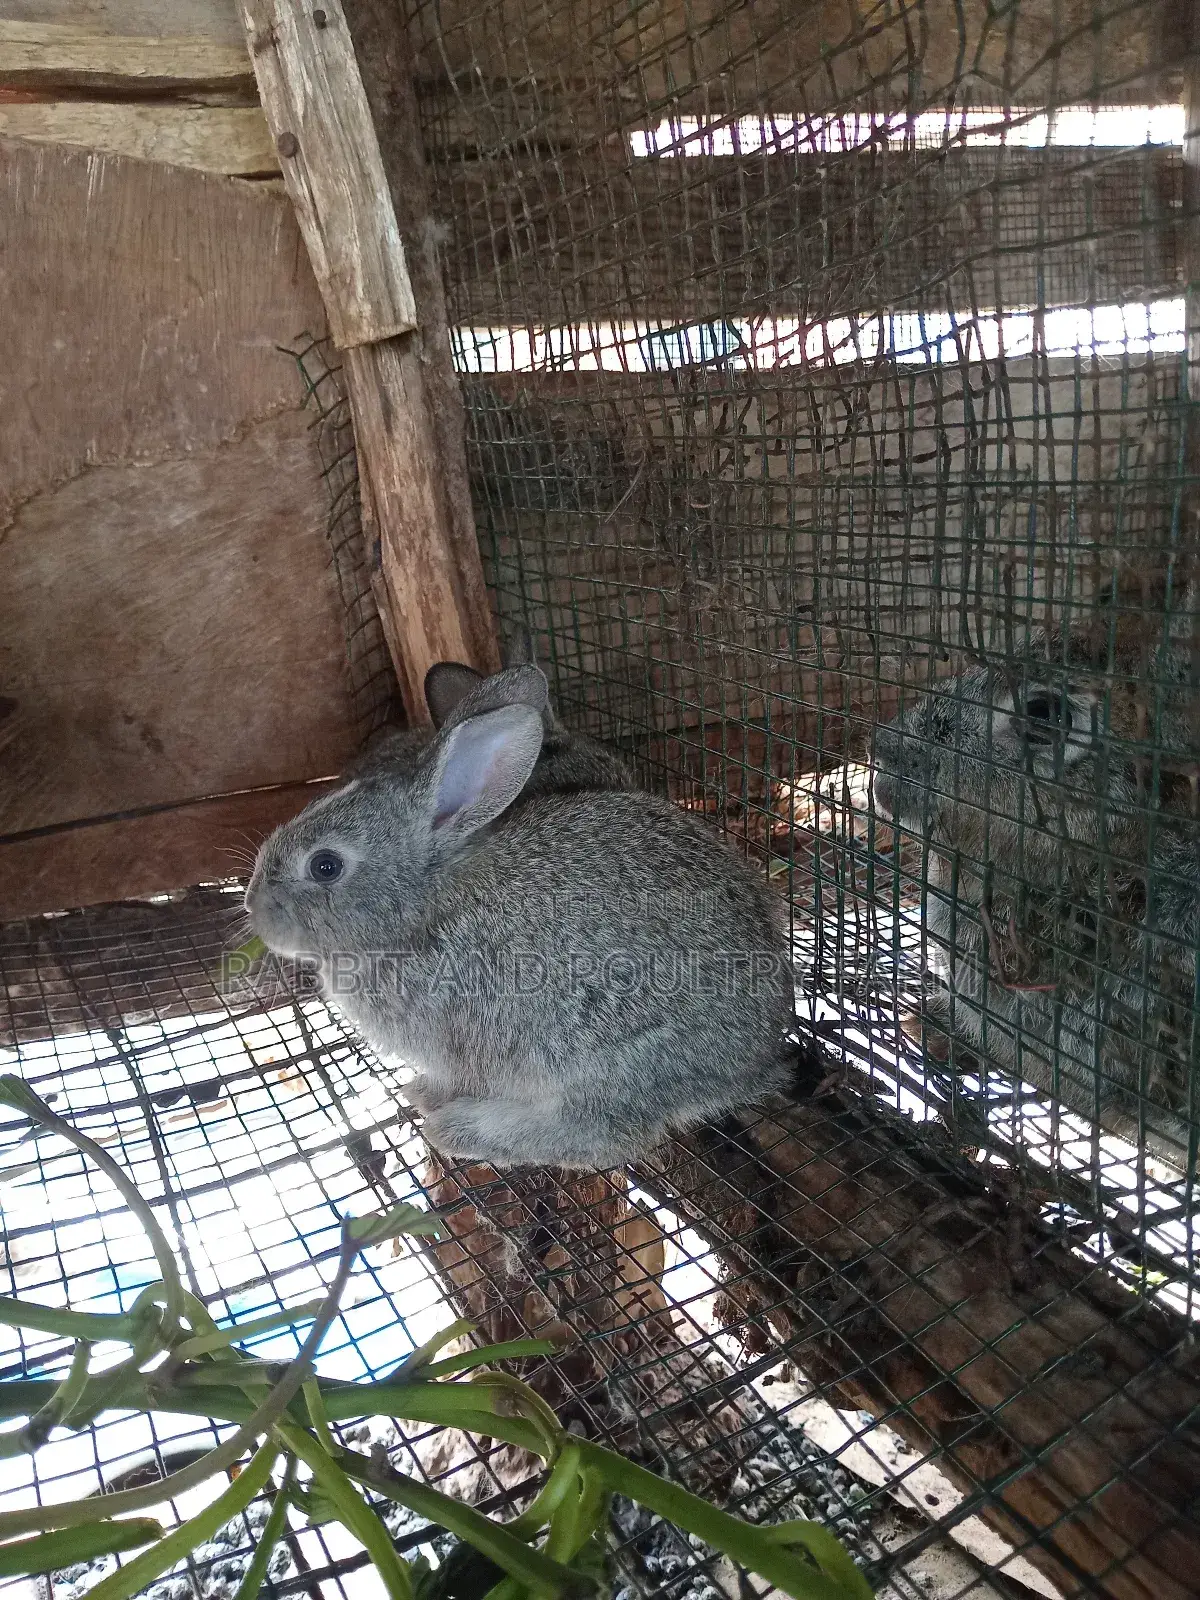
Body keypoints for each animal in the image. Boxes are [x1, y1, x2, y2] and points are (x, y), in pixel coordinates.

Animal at [244, 663, 796, 1170]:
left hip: (608, 1059)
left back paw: (460, 1130)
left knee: (602, 1135)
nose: (252, 907)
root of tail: (757, 1060)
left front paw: (432, 1100)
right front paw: (420, 1091)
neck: (421, 906)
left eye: (326, 866)